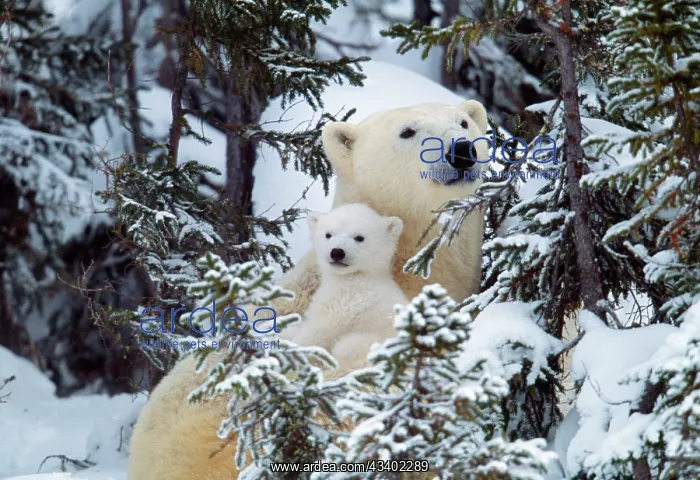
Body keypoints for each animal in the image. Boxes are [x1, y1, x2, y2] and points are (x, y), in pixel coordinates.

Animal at [280, 203, 408, 375]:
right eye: (328, 234)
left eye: (359, 237)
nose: (337, 252)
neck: (356, 278)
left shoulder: (345, 303)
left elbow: (321, 329)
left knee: (347, 346)